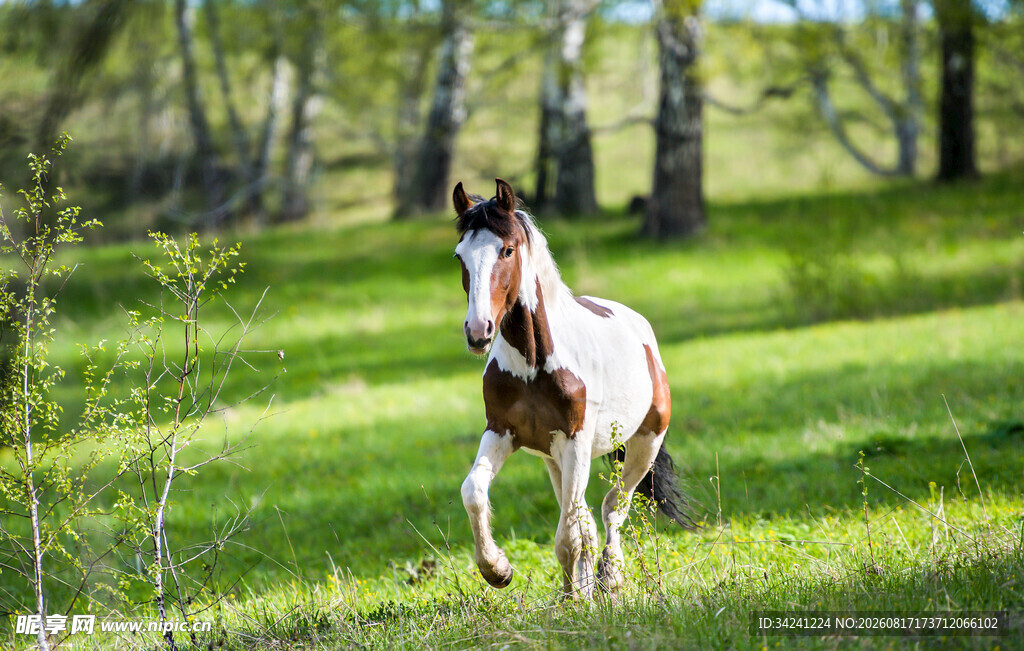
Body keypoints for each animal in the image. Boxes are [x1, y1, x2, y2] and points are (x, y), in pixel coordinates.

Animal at [452, 178, 692, 598]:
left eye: (507, 250)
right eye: (459, 256)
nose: (478, 331)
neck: (534, 365)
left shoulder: (576, 441)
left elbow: (569, 534)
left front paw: (578, 599)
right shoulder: (501, 432)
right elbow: (474, 491)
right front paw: (498, 570)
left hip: (644, 444)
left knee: (612, 508)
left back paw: (610, 577)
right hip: (554, 459)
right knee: (587, 519)